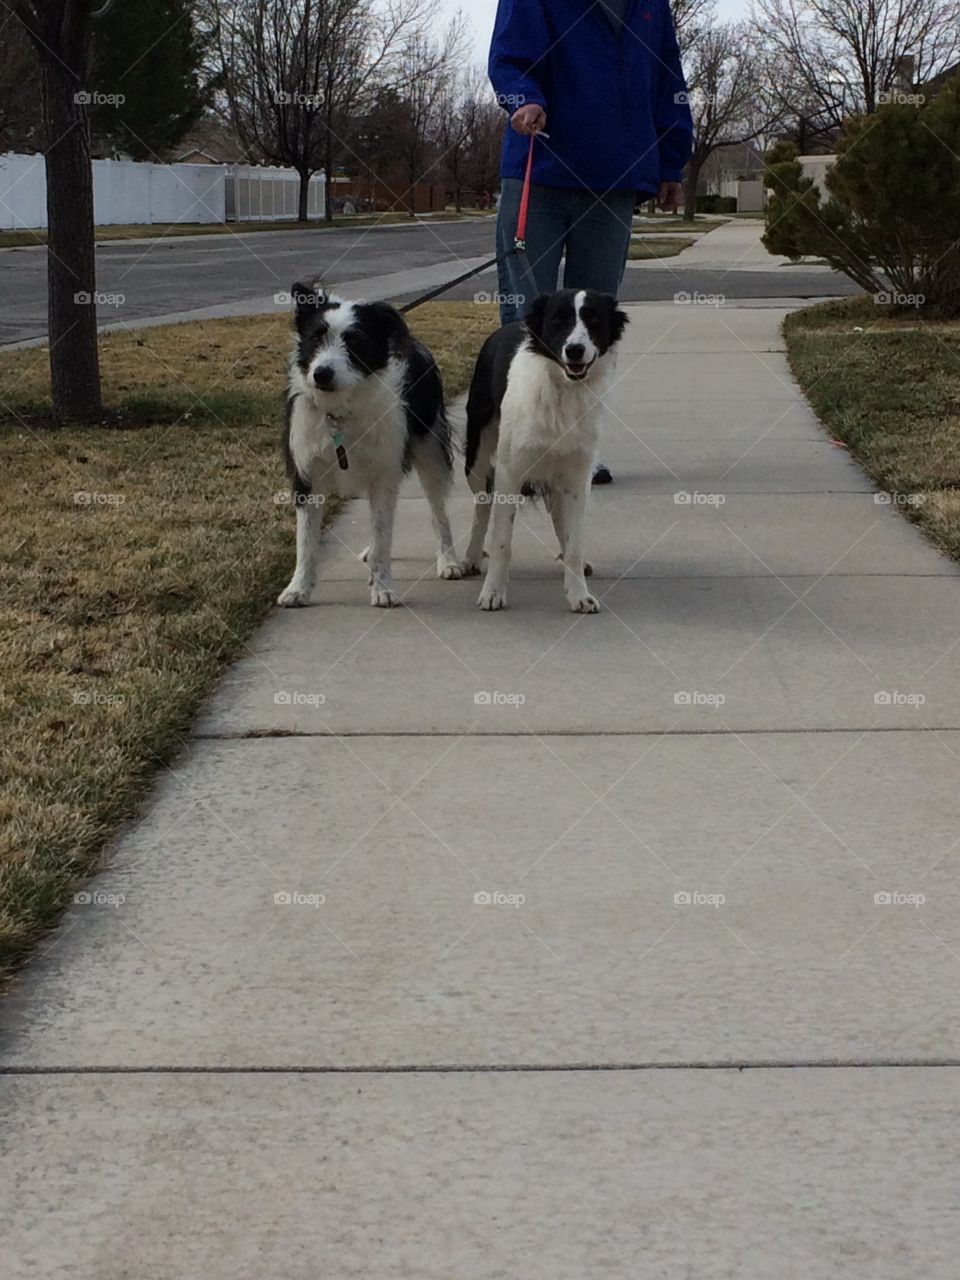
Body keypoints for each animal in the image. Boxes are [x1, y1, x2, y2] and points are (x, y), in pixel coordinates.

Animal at [277, 282, 463, 606]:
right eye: (315, 338)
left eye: (355, 342)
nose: (321, 374)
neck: (341, 409)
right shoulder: (306, 475)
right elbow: (306, 542)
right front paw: (298, 588)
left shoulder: (384, 471)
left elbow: (383, 533)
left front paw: (383, 588)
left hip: (430, 453)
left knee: (438, 510)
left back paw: (448, 560)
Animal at [465, 286, 632, 614]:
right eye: (557, 320)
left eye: (594, 320)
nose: (575, 350)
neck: (562, 391)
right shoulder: (509, 472)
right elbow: (502, 540)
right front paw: (493, 592)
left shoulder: (578, 476)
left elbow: (574, 541)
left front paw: (578, 593)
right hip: (476, 458)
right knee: (482, 506)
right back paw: (471, 557)